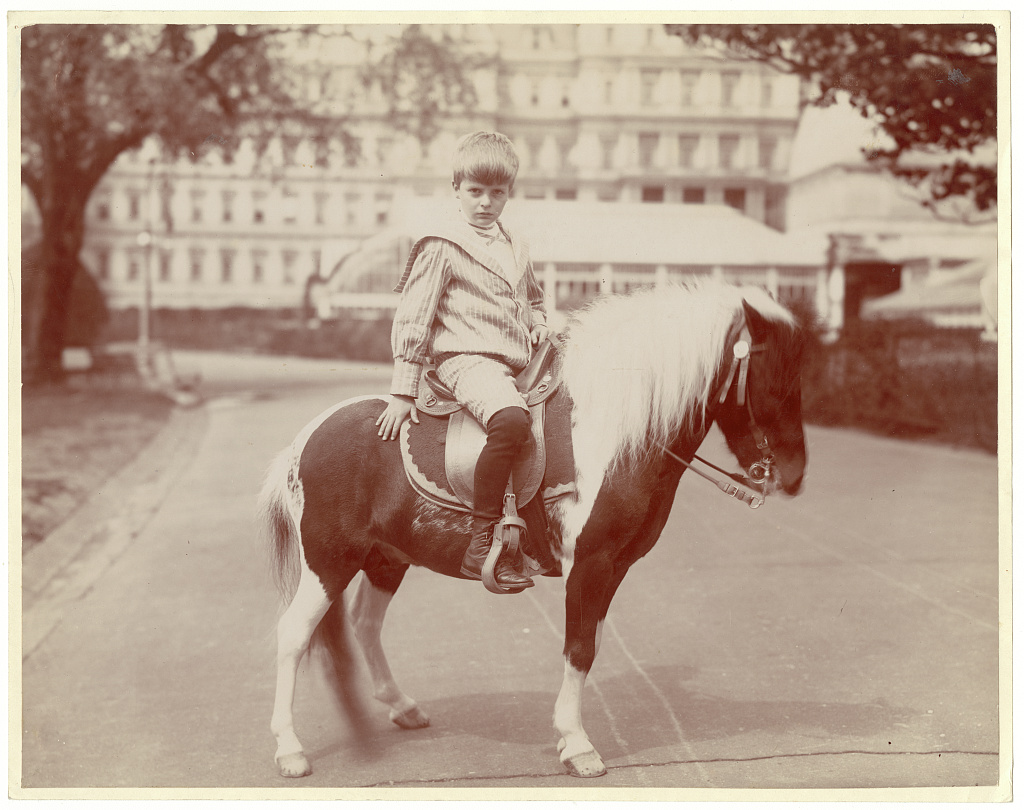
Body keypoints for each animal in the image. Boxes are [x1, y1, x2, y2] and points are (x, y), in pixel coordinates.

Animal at [260, 278, 802, 778]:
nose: (794, 476)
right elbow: (579, 648)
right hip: (329, 561)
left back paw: (402, 707)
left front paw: (569, 734)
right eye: (773, 379)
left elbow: (591, 644)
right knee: (293, 634)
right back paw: (289, 749)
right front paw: (578, 746)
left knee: (365, 625)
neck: (611, 434)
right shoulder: (589, 564)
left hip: (386, 559)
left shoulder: (614, 568)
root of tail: (303, 440)